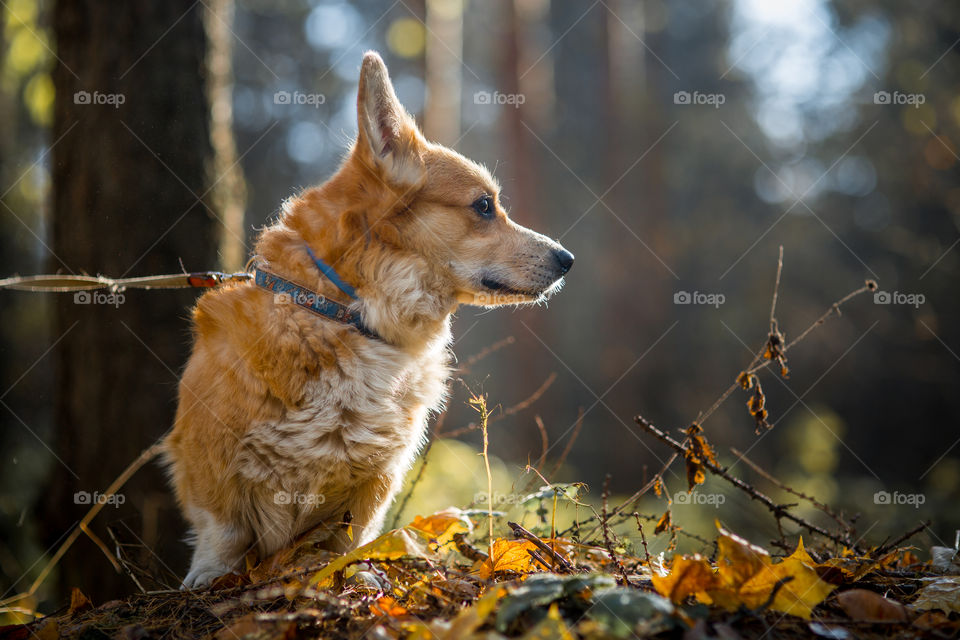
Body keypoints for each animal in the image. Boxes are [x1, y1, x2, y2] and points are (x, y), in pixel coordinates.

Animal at [165, 51, 572, 592]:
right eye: (484, 206)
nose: (568, 260)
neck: (347, 315)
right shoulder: (208, 458)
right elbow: (222, 532)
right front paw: (208, 578)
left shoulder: (376, 480)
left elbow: (350, 540)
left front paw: (356, 576)